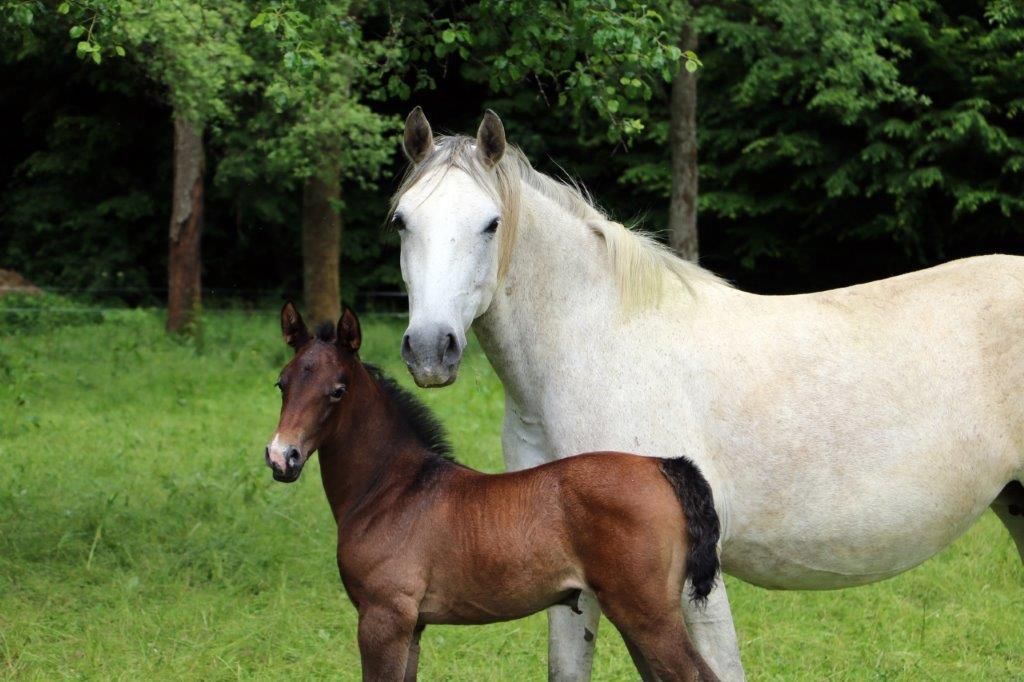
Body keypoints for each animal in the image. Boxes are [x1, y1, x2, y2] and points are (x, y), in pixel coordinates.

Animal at [264, 302, 724, 682]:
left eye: (338, 390)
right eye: (282, 383)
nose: (281, 457)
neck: (391, 489)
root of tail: (661, 466)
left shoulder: (384, 617)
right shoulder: (412, 625)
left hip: (649, 616)